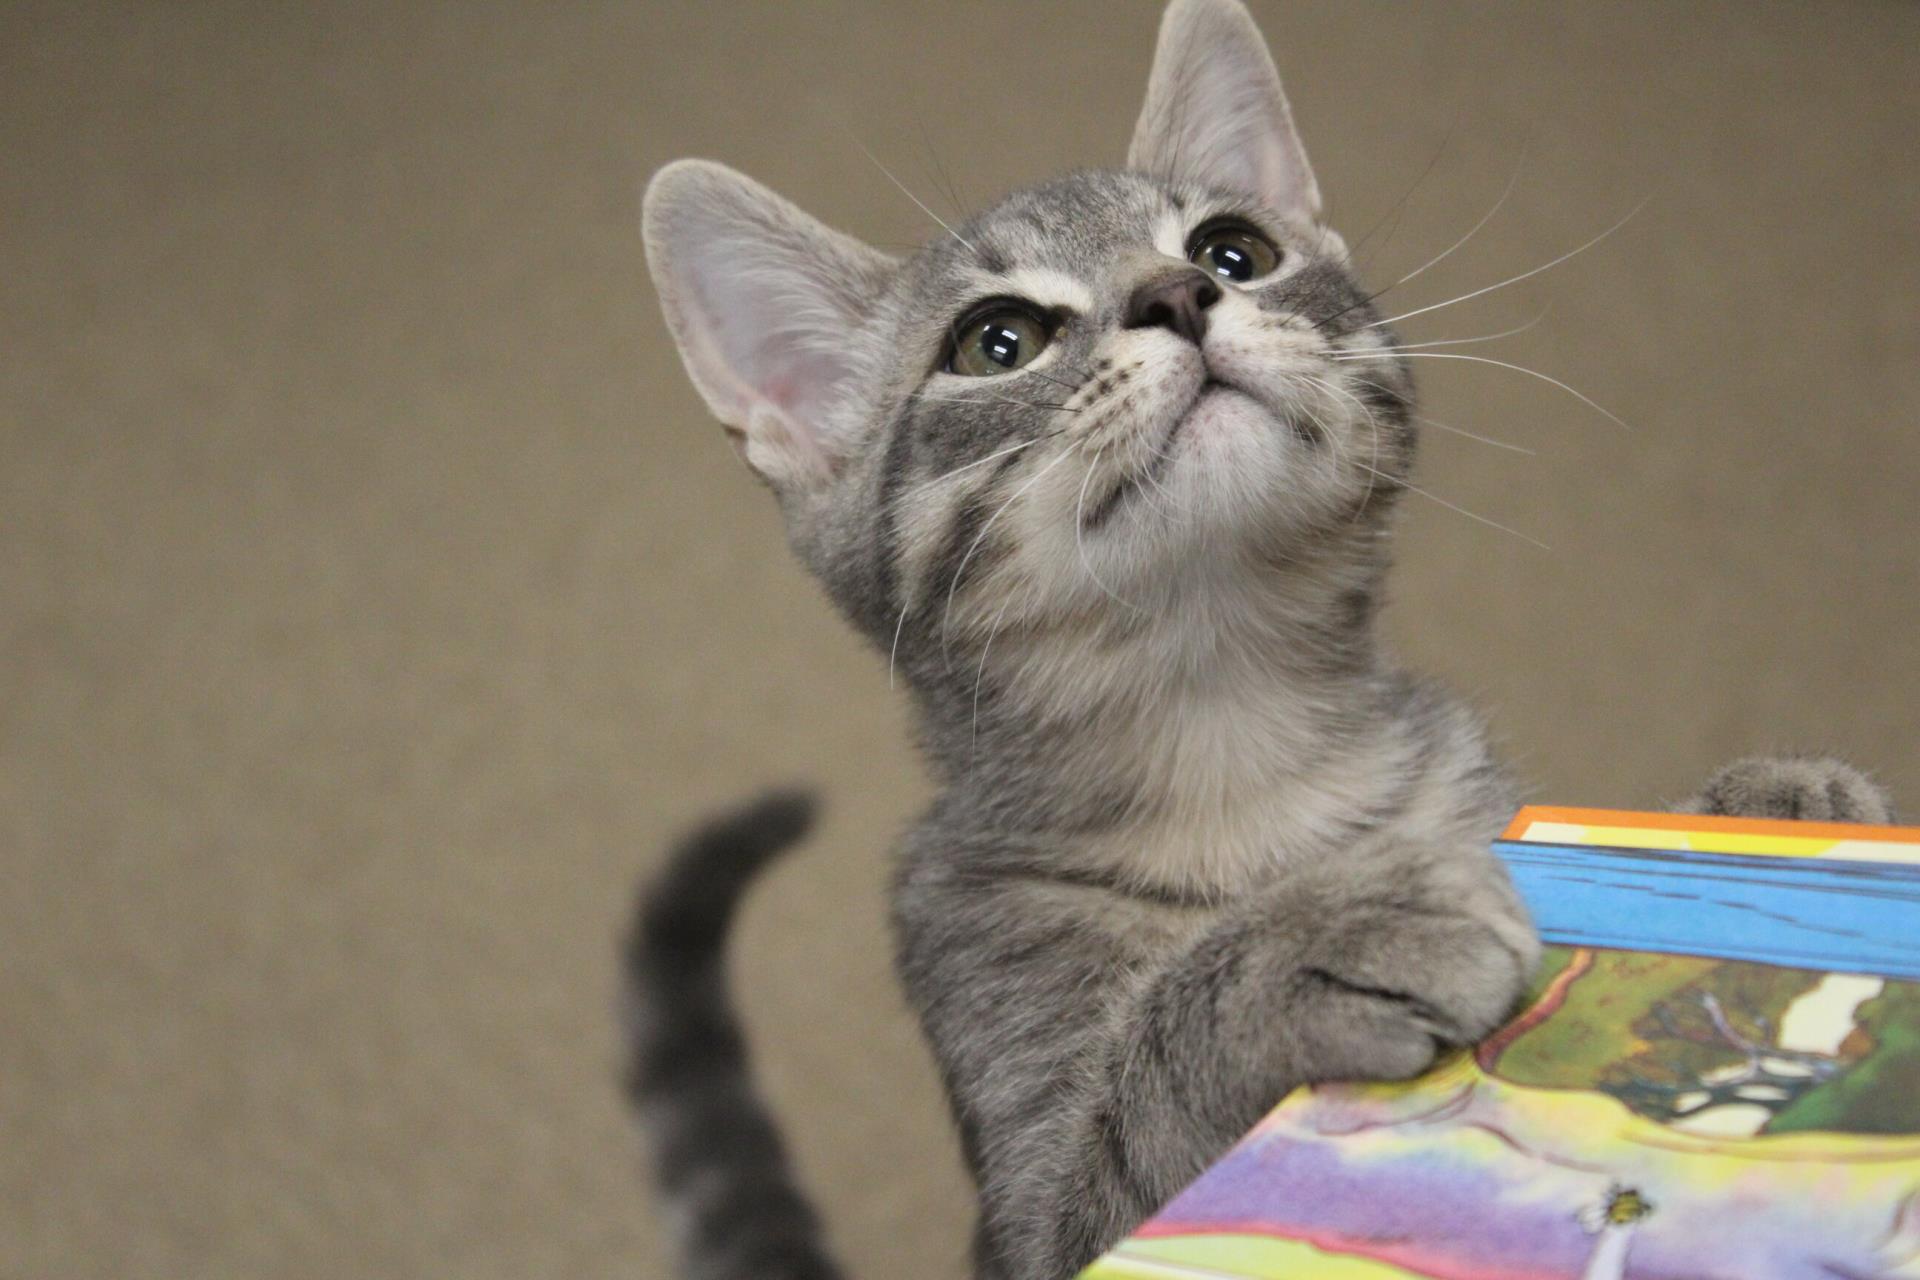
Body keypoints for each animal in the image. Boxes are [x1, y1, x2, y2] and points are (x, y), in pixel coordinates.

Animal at [625, 2, 1889, 1280]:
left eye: (1234, 249)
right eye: (998, 340)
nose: (1180, 293)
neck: (1235, 737)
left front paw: (1751, 813)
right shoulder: (1029, 1193)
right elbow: (1136, 1118)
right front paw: (1316, 940)